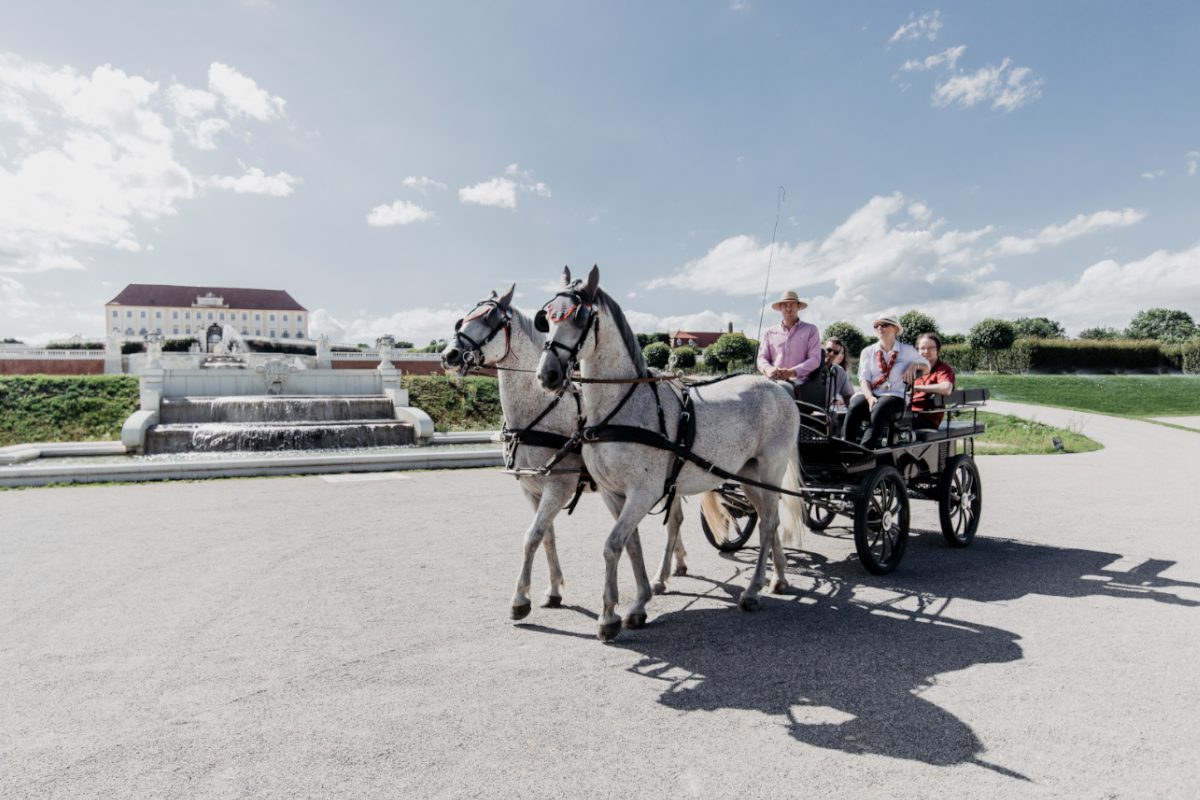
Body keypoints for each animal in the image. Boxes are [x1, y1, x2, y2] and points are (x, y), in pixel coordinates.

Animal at [441, 284, 691, 628]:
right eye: (462, 319)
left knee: (673, 522)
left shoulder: (559, 487)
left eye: (490, 319)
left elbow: (532, 536)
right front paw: (553, 589)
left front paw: (520, 600)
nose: (449, 355)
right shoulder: (531, 488)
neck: (541, 409)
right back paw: (674, 566)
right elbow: (546, 536)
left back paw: (661, 575)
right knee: (675, 521)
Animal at [537, 266, 806, 642]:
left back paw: (752, 591)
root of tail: (777, 386)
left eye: (579, 317)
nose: (546, 375)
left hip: (770, 470)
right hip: (748, 475)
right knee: (772, 518)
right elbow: (631, 544)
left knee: (767, 523)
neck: (619, 408)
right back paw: (778, 578)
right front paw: (639, 603)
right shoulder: (612, 493)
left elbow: (612, 545)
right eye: (546, 316)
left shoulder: (643, 492)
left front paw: (609, 616)